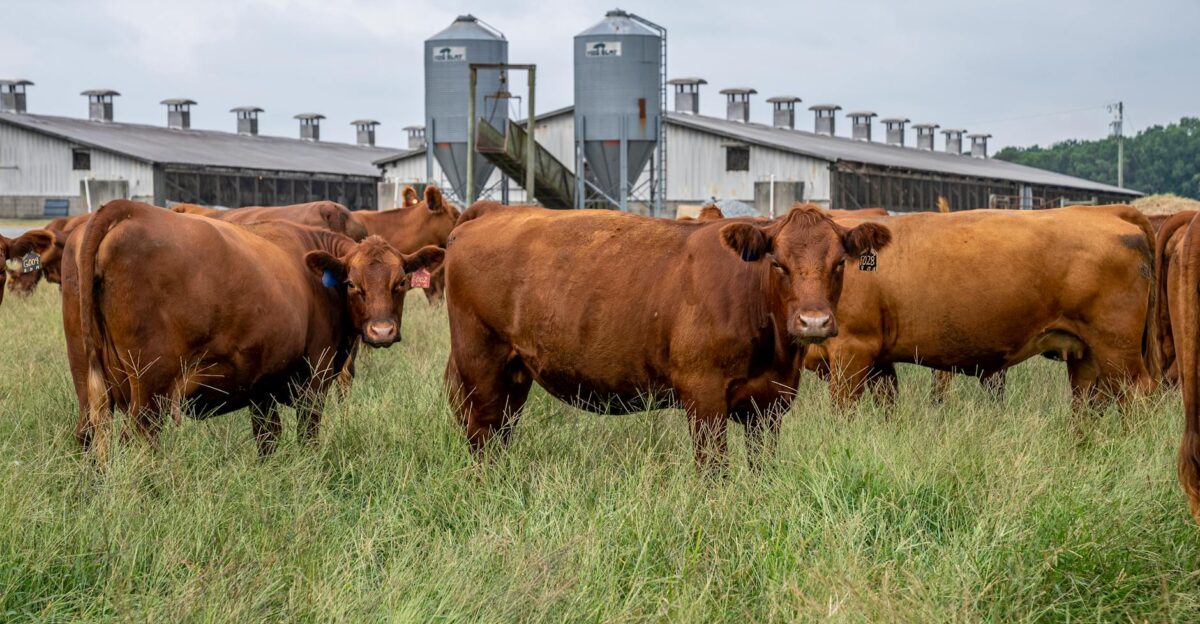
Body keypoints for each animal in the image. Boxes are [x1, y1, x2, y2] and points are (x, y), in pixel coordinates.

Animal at [64, 200, 444, 460]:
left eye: (400, 282)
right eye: (352, 284)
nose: (382, 331)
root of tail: (126, 208)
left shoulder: (262, 384)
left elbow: (268, 438)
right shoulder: (314, 378)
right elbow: (307, 435)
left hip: (86, 376)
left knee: (87, 435)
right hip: (149, 387)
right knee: (141, 440)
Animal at [443, 202, 891, 470]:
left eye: (839, 263)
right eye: (778, 263)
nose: (813, 322)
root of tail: (494, 209)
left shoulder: (769, 405)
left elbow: (762, 467)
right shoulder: (704, 397)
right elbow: (714, 470)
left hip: (515, 372)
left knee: (500, 432)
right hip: (481, 363)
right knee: (482, 433)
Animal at [803, 205, 1159, 410]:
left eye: (837, 262)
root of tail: (1108, 212)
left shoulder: (853, 349)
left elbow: (842, 409)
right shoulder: (879, 359)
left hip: (1116, 347)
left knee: (1137, 394)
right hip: (1084, 351)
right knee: (1086, 400)